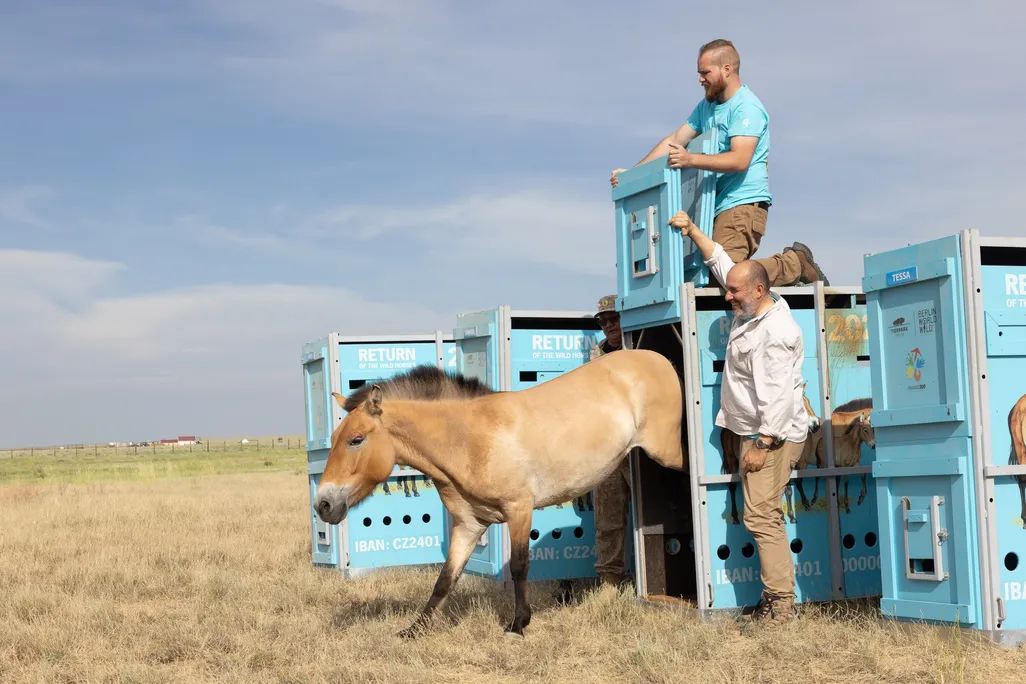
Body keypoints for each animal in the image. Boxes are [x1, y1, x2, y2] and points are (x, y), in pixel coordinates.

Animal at [313, 349, 686, 638]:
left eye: (356, 439)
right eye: (334, 439)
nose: (323, 504)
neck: (469, 439)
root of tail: (658, 359)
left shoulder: (519, 509)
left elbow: (519, 566)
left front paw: (518, 624)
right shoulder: (469, 526)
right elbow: (445, 578)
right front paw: (414, 630)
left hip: (668, 452)